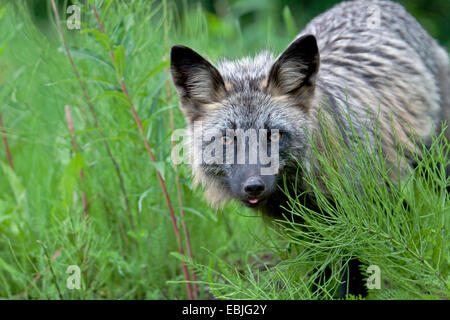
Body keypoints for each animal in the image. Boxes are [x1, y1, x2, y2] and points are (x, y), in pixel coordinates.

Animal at [170, 0, 450, 298]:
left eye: (274, 135)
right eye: (227, 139)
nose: (253, 186)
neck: (304, 188)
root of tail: (375, 4)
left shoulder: (352, 218)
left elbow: (350, 274)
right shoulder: (307, 227)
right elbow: (321, 273)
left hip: (433, 167)